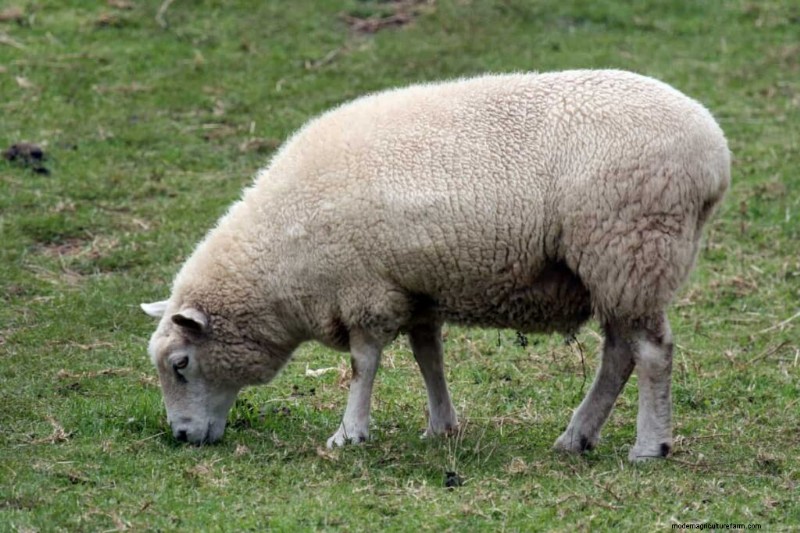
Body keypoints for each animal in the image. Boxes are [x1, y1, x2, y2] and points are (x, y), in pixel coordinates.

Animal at [141, 69, 730, 461]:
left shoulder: (367, 288)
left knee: (651, 353)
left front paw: (349, 433)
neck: (284, 259)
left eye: (180, 364)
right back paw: (576, 436)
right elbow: (430, 357)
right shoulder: (417, 287)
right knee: (618, 354)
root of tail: (715, 154)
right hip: (619, 267)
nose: (181, 437)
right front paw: (441, 425)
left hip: (631, 247)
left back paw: (649, 445)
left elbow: (364, 365)